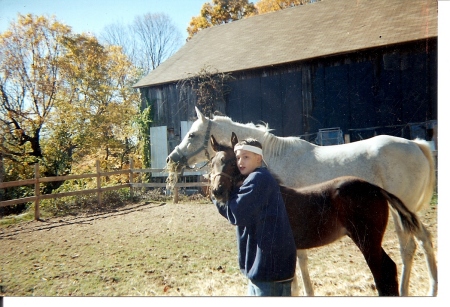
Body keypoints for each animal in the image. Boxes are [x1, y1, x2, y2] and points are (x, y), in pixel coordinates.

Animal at [167, 107, 438, 298]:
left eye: (191, 134)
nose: (172, 159)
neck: (273, 158)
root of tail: (416, 144)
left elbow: (299, 261)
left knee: (408, 248)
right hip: (405, 213)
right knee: (421, 240)